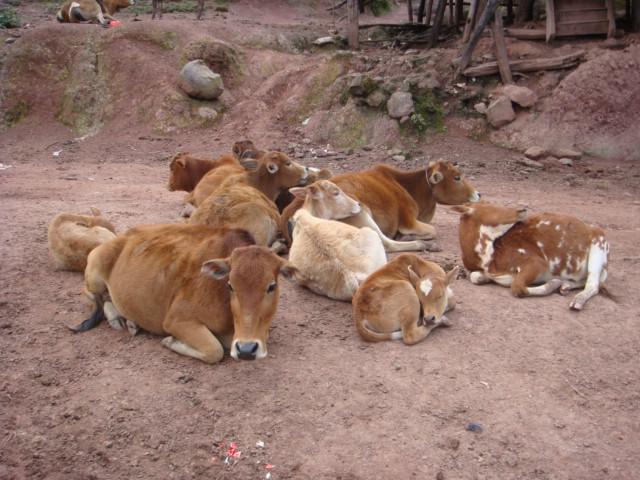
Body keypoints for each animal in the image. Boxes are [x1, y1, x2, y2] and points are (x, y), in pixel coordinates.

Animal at [72, 225, 298, 364]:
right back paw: (117, 317)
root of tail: (123, 236)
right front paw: (170, 342)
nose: (246, 349)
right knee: (91, 294)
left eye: (271, 286)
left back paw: (131, 322)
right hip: (94, 273)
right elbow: (214, 350)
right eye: (230, 285)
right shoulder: (177, 320)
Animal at [280, 160, 480, 251]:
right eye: (457, 177)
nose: (478, 194)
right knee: (386, 243)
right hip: (362, 214)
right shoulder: (409, 221)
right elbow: (433, 230)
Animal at [452, 203, 612, 312]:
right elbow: (475, 276)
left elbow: (517, 287)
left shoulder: (536, 262)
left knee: (593, 284)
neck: (490, 260)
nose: (521, 209)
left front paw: (553, 283)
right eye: (491, 206)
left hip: (599, 245)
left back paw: (576, 301)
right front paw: (557, 283)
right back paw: (565, 286)